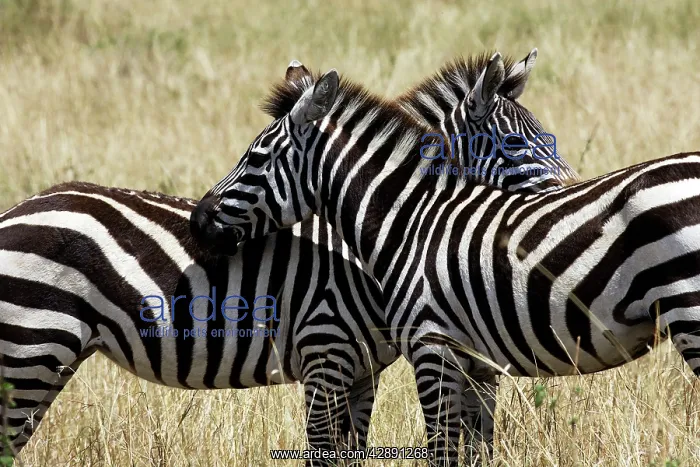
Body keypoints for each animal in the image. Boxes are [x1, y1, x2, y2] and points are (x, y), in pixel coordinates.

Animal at [0, 54, 576, 464]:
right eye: (516, 144)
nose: (573, 197)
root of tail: (20, 207)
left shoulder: (361, 372)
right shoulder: (325, 352)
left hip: (46, 357)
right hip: (31, 349)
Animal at [192, 54, 700, 465]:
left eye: (255, 159)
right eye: (520, 145)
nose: (198, 220)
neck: (413, 220)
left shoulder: (430, 347)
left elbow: (441, 450)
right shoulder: (476, 363)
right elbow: (475, 450)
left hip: (690, 314)